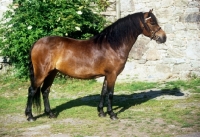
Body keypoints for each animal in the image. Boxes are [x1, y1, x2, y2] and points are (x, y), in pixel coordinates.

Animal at [24, 9, 166, 121]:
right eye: (152, 22)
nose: (163, 37)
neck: (113, 45)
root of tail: (37, 42)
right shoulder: (112, 75)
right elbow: (110, 93)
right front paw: (112, 114)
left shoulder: (107, 75)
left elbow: (103, 92)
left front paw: (101, 112)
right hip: (42, 73)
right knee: (32, 90)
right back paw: (30, 116)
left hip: (52, 73)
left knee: (45, 91)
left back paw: (50, 114)